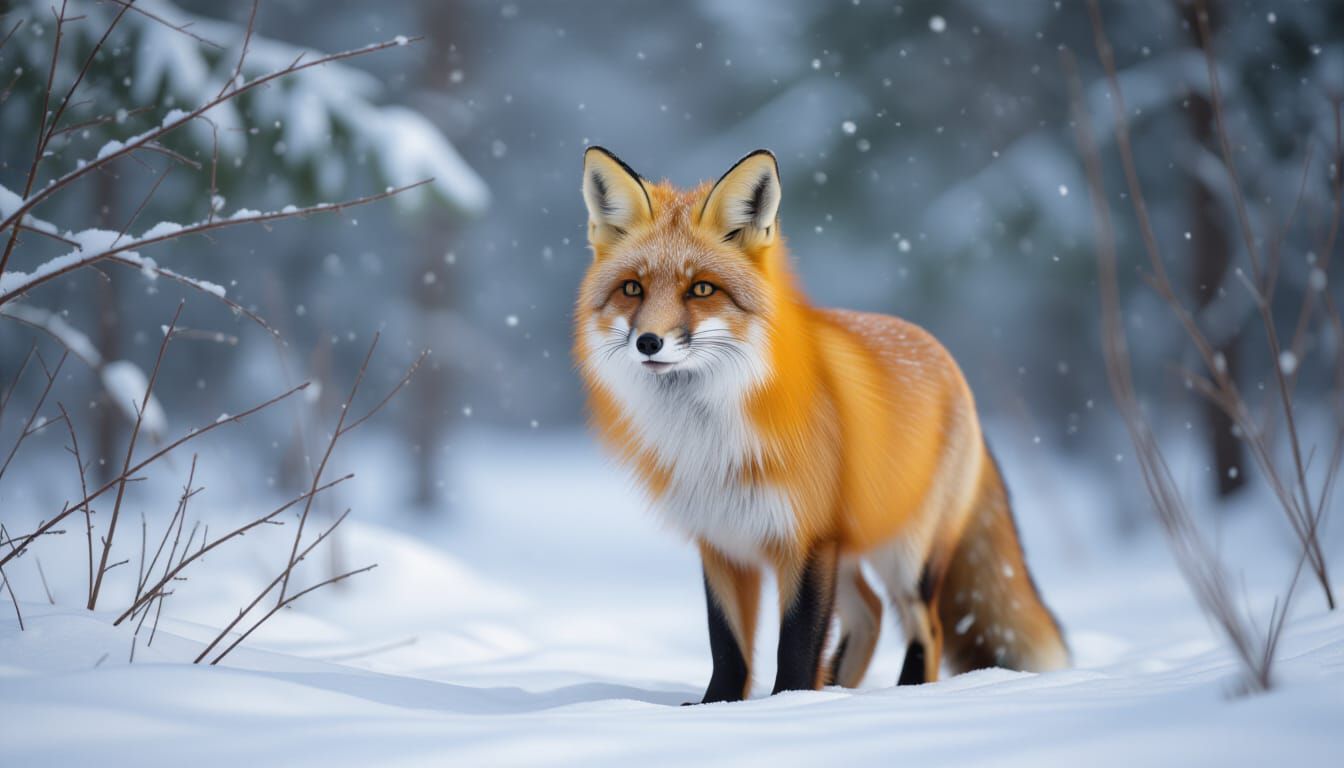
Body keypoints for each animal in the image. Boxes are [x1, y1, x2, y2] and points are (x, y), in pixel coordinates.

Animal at [573, 146, 1068, 703]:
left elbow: (797, 643)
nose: (649, 342)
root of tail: (950, 365)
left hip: (906, 557)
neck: (713, 441)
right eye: (632, 289)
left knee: (927, 627)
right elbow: (728, 647)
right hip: (851, 554)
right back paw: (838, 691)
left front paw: (790, 705)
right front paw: (717, 707)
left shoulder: (807, 539)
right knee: (870, 615)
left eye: (701, 289)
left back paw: (902, 695)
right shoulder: (722, 541)